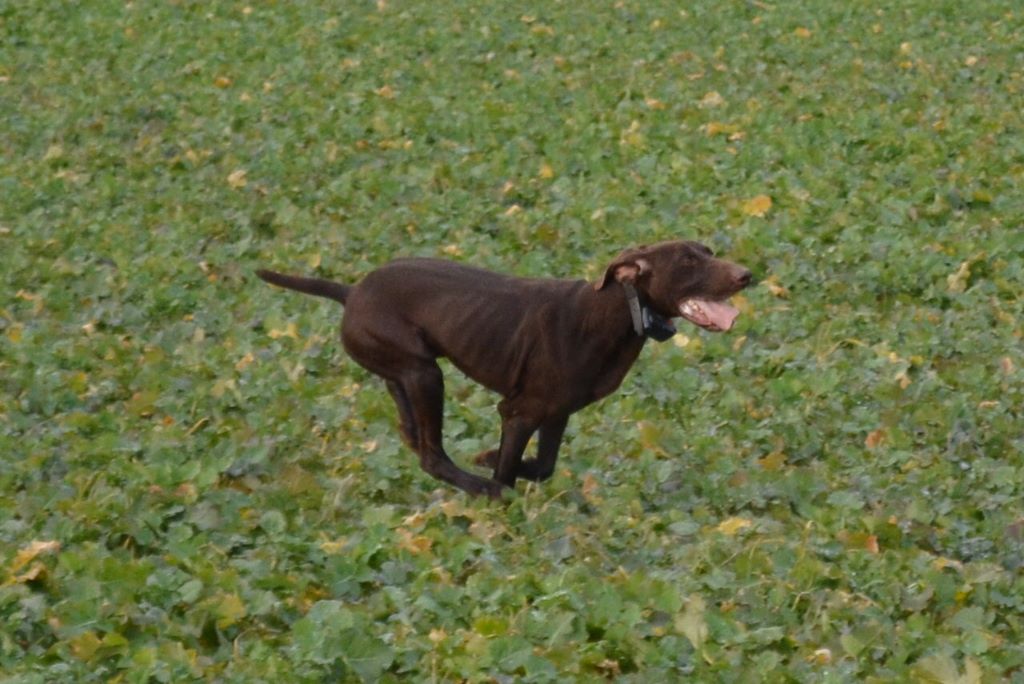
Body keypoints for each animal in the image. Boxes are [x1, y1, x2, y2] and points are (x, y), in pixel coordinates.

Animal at [256, 240, 753, 497]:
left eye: (710, 250)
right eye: (688, 260)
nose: (747, 274)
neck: (616, 313)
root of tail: (351, 292)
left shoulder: (557, 413)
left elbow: (544, 466)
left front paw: (494, 458)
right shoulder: (520, 412)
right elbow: (510, 470)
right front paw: (496, 479)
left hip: (403, 372)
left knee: (413, 436)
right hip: (424, 375)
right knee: (433, 456)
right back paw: (481, 489)